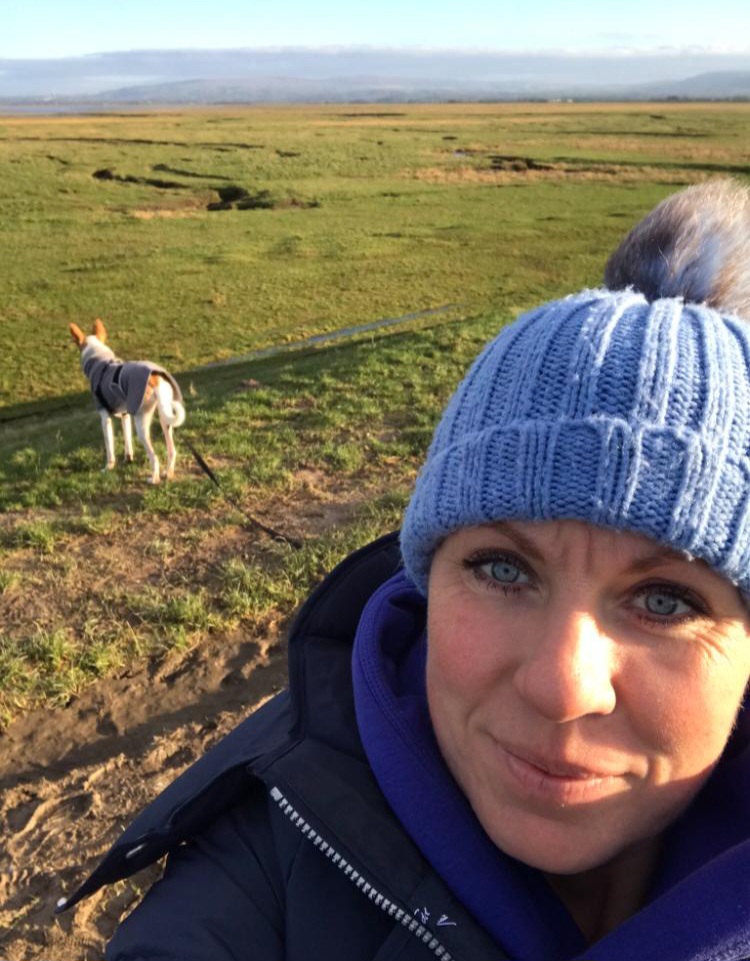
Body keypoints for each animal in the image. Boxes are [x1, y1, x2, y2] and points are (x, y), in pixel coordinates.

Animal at [69, 322, 187, 484]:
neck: (100, 360)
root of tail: (155, 378)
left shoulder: (105, 418)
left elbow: (109, 448)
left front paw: (108, 468)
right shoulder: (125, 415)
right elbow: (128, 440)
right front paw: (128, 458)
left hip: (142, 424)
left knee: (155, 457)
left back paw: (154, 478)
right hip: (165, 419)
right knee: (172, 451)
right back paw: (167, 473)